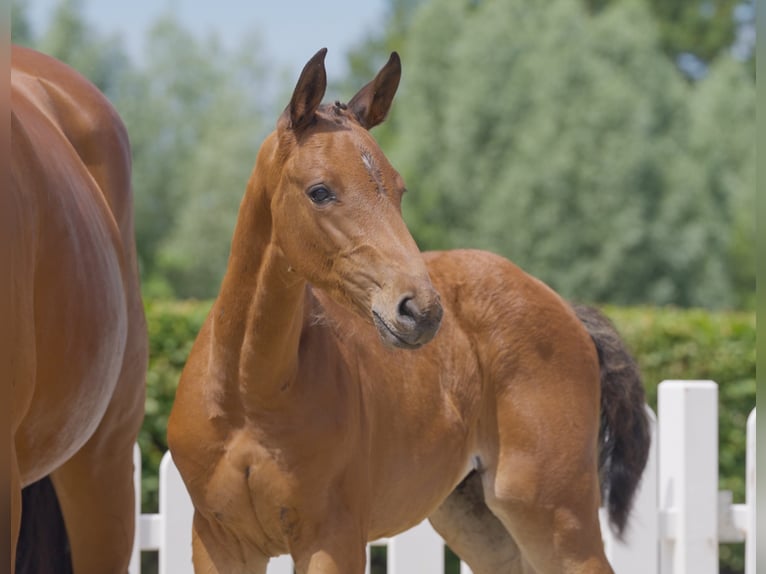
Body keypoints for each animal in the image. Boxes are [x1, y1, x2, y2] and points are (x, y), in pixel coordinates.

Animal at [170, 50, 656, 574]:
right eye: (320, 191)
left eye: (399, 190)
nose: (420, 310)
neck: (249, 396)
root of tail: (564, 308)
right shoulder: (217, 540)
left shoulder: (333, 537)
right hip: (476, 518)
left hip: (555, 512)